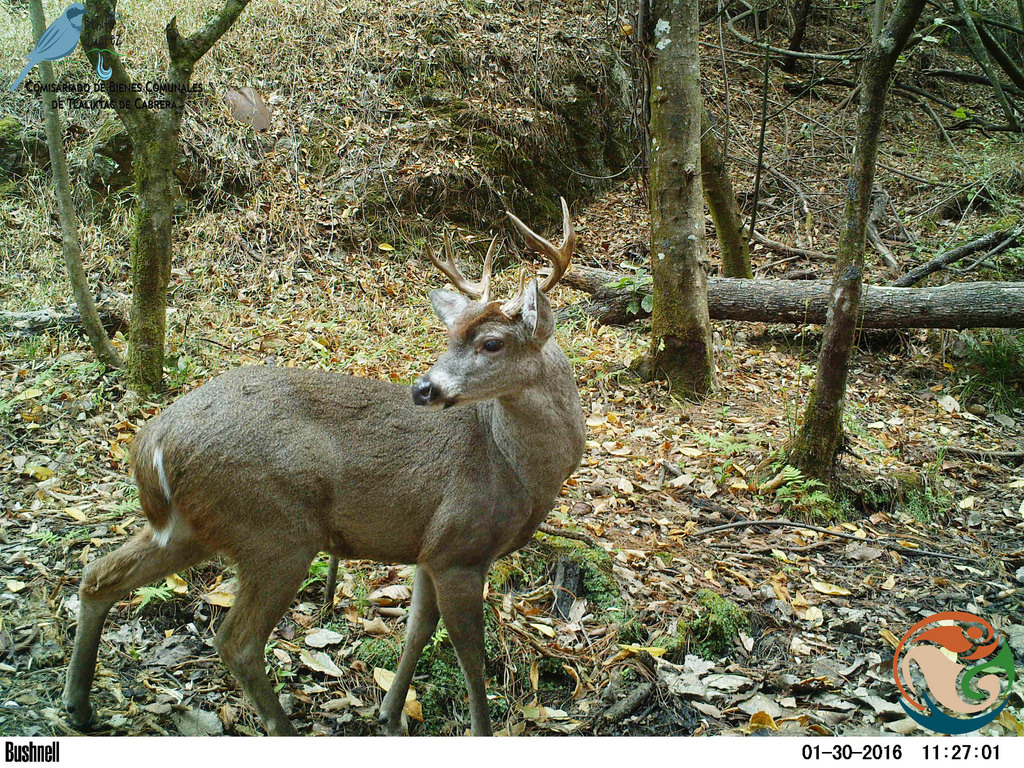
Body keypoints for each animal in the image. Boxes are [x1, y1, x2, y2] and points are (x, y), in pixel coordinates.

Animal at [62, 199, 586, 737]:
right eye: (451, 337)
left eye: (492, 343)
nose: (423, 389)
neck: (517, 469)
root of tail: (153, 440)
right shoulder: (462, 546)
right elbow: (471, 657)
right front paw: (477, 729)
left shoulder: (431, 549)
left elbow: (417, 630)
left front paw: (389, 714)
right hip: (275, 529)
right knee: (236, 641)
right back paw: (281, 726)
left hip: (191, 526)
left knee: (98, 574)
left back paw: (79, 706)